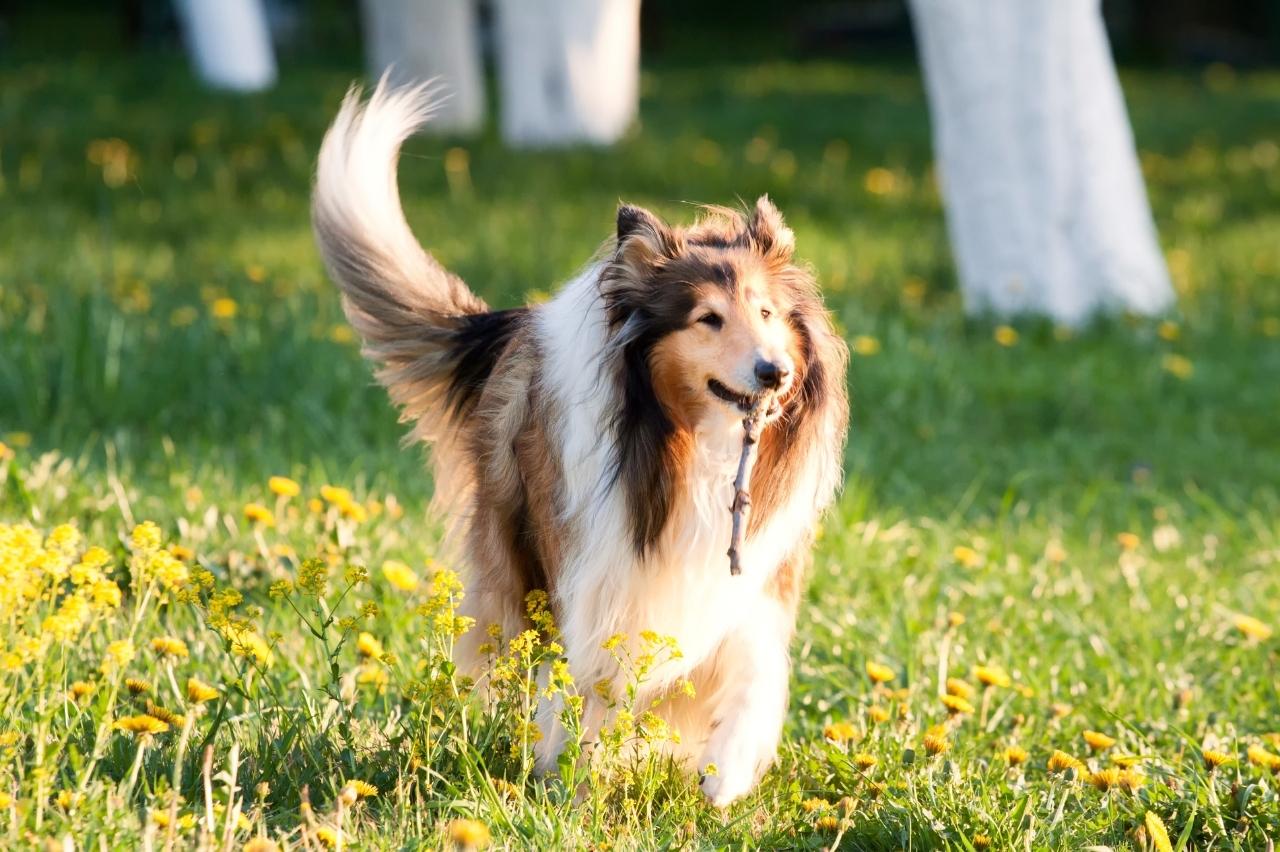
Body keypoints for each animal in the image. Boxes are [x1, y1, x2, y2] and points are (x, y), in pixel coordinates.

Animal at [312, 83, 849, 808]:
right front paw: (568, 778)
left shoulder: (752, 581)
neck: (689, 446)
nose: (775, 373)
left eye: (766, 313)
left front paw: (723, 778)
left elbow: (749, 677)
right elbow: (583, 683)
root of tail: (511, 326)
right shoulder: (594, 570)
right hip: (518, 548)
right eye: (708, 318)